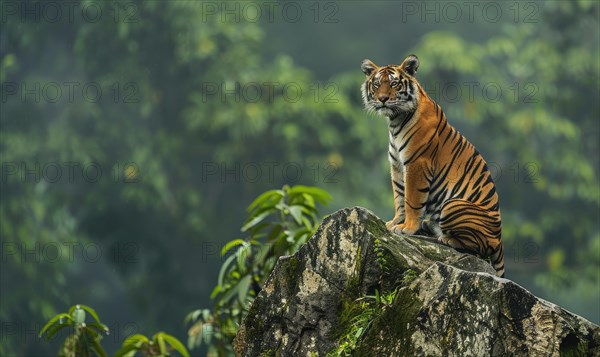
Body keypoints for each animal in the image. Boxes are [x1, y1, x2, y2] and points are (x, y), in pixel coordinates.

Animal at [360, 54, 506, 276]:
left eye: (393, 84)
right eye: (377, 84)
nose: (383, 99)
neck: (395, 121)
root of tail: (500, 239)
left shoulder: (417, 164)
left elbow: (411, 199)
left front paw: (407, 227)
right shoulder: (397, 166)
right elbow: (399, 197)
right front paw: (395, 222)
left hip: (454, 205)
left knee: (480, 246)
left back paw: (446, 238)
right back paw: (430, 225)